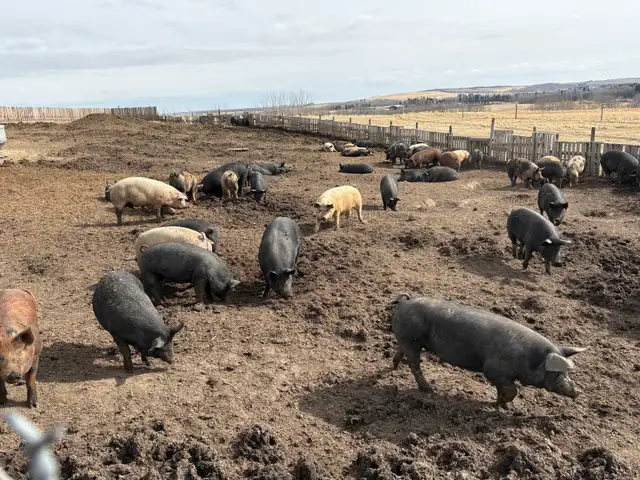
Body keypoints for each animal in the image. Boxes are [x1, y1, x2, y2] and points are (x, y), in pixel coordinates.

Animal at [390, 294, 587, 406]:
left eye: (568, 372)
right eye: (558, 373)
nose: (578, 392)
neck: (531, 359)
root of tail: (404, 303)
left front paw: (503, 405)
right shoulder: (494, 369)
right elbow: (511, 389)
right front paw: (500, 405)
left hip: (408, 339)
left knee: (403, 353)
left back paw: (394, 366)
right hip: (410, 339)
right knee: (415, 364)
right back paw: (428, 390)